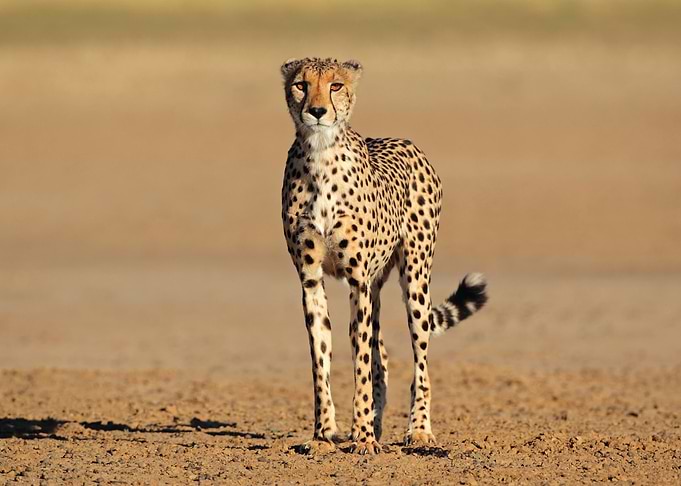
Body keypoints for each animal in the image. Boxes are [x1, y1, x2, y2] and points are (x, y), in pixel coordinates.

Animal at [280, 57, 488, 455]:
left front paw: (362, 437)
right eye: (300, 84)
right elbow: (321, 359)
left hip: (415, 279)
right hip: (376, 285)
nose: (317, 111)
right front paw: (324, 435)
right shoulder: (311, 280)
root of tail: (407, 142)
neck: (320, 154)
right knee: (382, 353)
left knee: (419, 361)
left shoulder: (357, 281)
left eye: (335, 85)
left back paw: (417, 430)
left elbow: (359, 362)